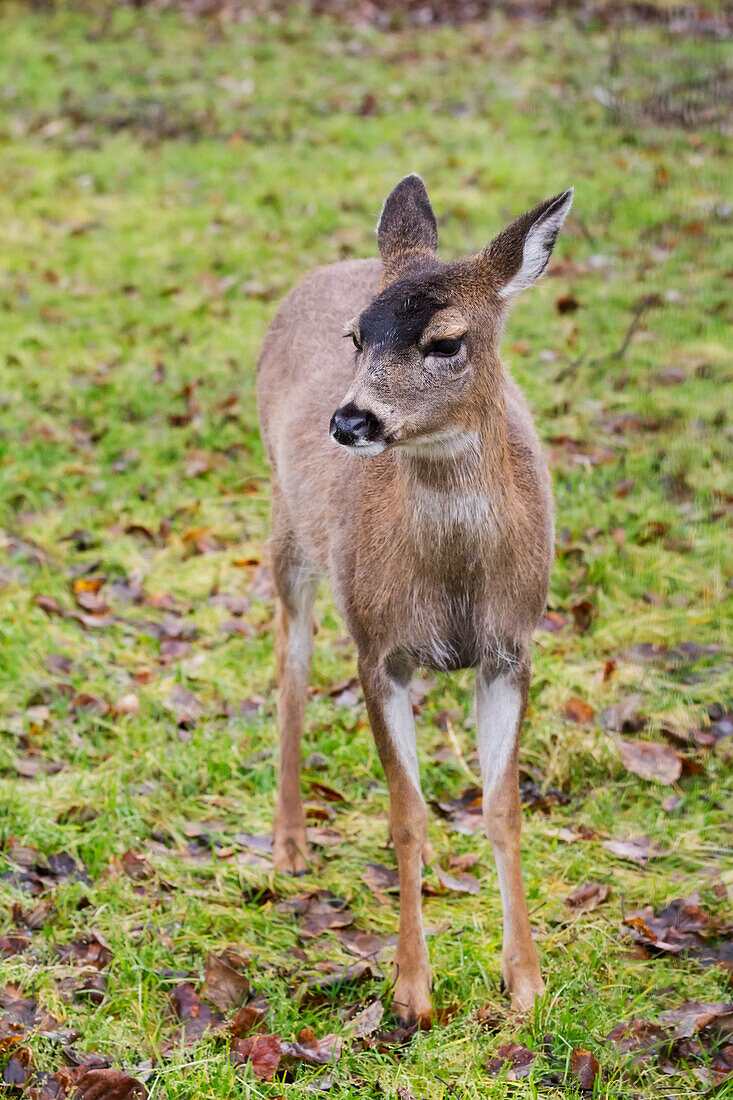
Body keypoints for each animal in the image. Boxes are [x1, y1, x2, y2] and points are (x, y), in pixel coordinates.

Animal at [255, 176, 572, 1025]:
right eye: (356, 337)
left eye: (445, 342)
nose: (350, 420)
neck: (455, 580)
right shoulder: (378, 649)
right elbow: (404, 816)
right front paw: (410, 992)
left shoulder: (510, 650)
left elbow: (501, 809)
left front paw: (526, 984)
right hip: (289, 529)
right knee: (290, 663)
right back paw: (289, 844)